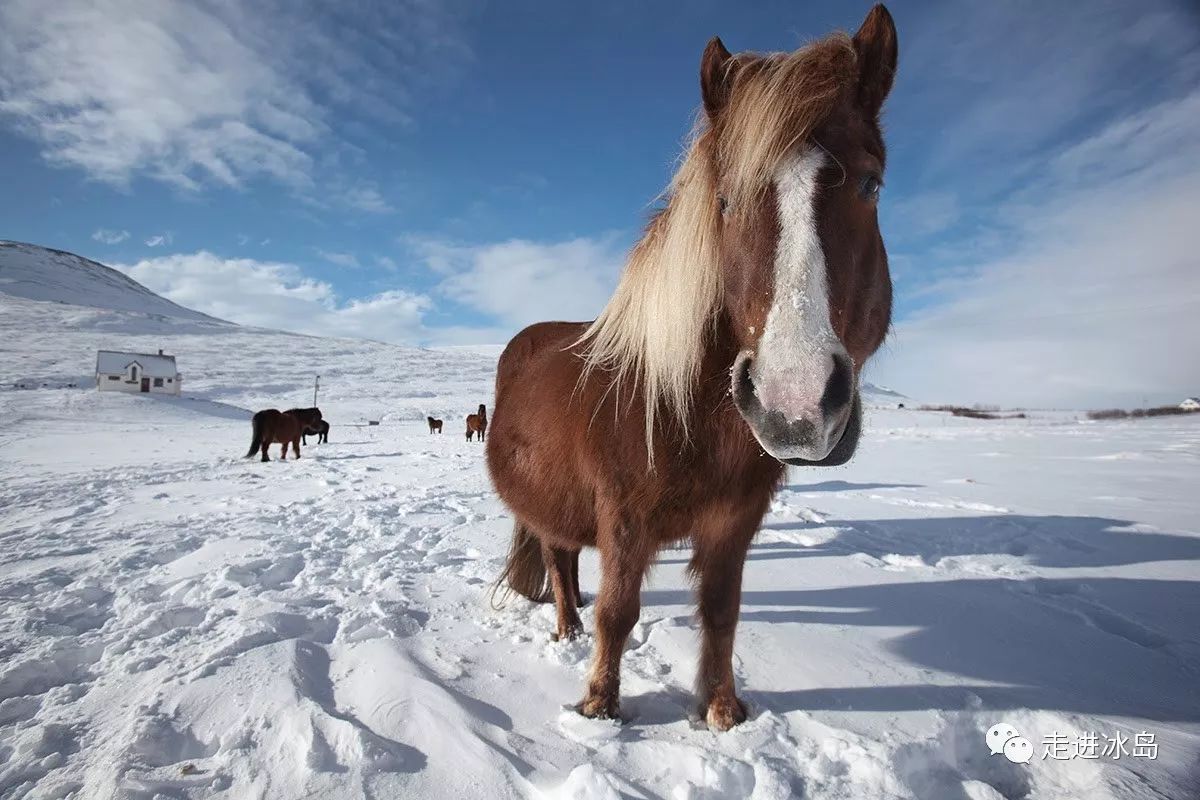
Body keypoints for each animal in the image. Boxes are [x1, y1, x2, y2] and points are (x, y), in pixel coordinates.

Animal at [484, 7, 892, 734]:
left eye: (873, 184)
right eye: (724, 200)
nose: (795, 404)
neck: (682, 412)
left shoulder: (736, 522)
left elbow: (722, 612)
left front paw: (723, 711)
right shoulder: (622, 520)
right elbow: (619, 612)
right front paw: (600, 708)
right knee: (558, 560)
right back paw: (566, 628)